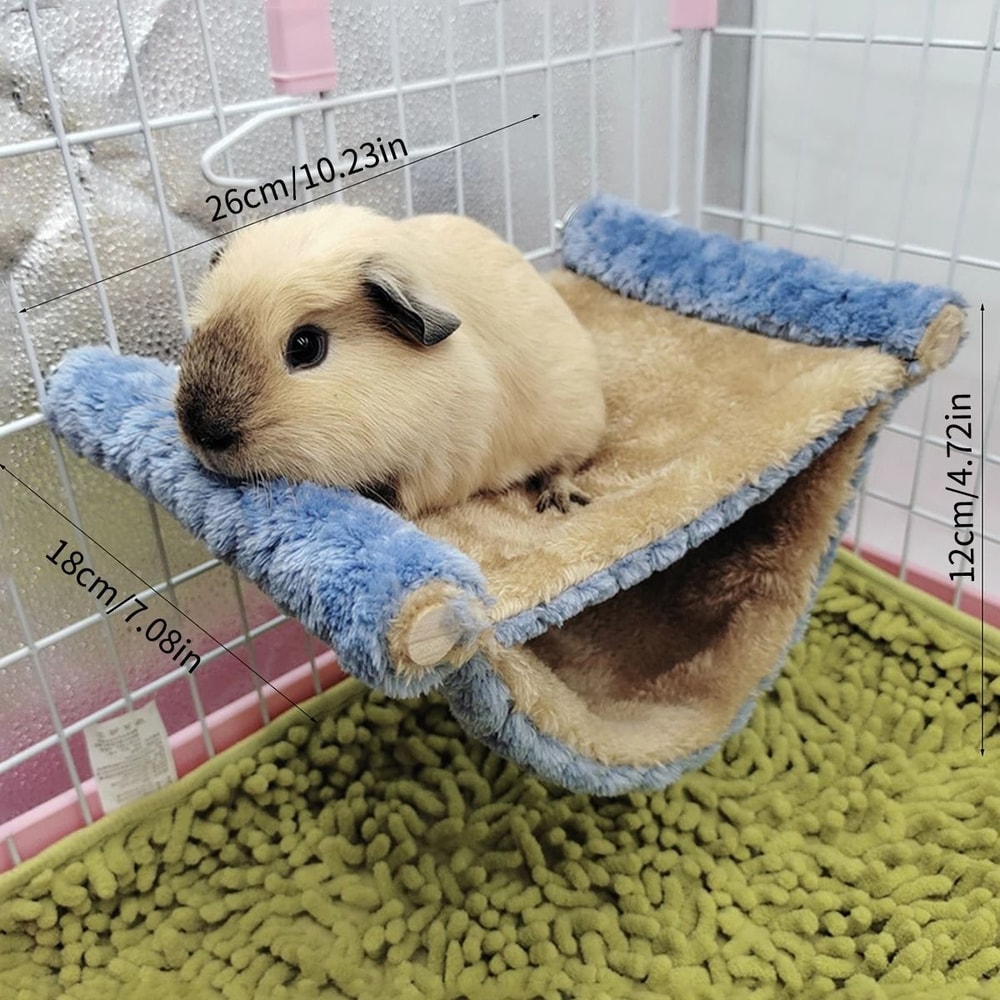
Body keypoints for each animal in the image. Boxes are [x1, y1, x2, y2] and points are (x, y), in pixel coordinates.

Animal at [174, 203, 606, 517]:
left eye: (306, 346)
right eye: (201, 326)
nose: (202, 435)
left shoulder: (439, 468)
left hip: (577, 426)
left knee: (562, 466)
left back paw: (560, 503)